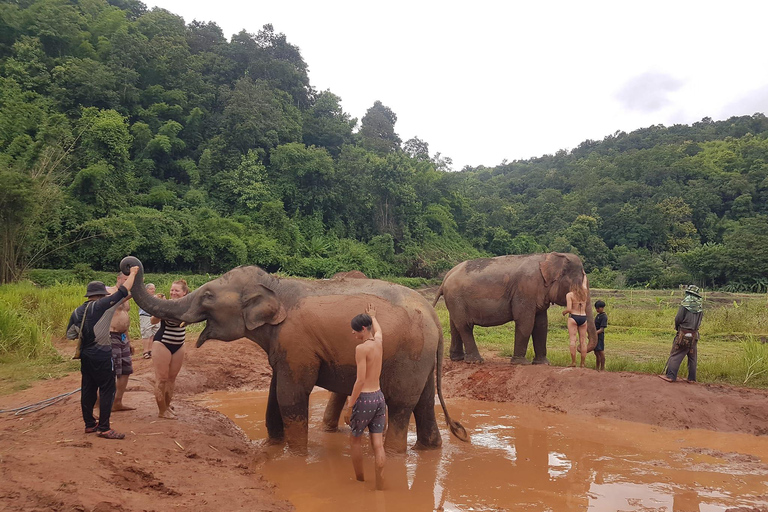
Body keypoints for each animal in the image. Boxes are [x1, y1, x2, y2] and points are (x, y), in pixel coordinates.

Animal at [121, 256, 468, 452]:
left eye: (207, 295)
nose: (129, 264)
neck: (276, 285)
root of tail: (433, 315)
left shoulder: (296, 344)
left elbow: (291, 396)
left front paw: (297, 456)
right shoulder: (283, 347)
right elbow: (274, 394)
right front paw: (270, 448)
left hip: (409, 354)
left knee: (400, 405)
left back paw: (396, 455)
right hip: (422, 356)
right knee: (423, 401)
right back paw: (428, 450)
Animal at [432, 252, 600, 364]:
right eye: (578, 288)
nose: (578, 347)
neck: (547, 257)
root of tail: (446, 276)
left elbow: (541, 325)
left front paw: (543, 363)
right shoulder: (525, 290)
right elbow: (525, 322)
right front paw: (521, 363)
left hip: (454, 301)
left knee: (455, 325)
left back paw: (458, 359)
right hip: (456, 298)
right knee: (465, 326)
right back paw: (476, 361)